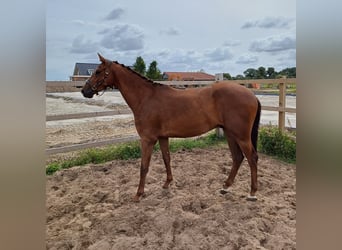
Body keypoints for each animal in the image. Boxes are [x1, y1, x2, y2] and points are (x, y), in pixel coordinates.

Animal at [81, 53, 260, 202]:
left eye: (98, 71)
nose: (84, 90)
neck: (146, 97)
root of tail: (251, 95)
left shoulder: (147, 140)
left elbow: (144, 166)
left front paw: (138, 194)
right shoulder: (162, 137)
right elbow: (166, 158)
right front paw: (167, 183)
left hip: (241, 136)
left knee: (251, 158)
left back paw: (252, 193)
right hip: (230, 134)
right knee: (237, 158)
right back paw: (225, 187)